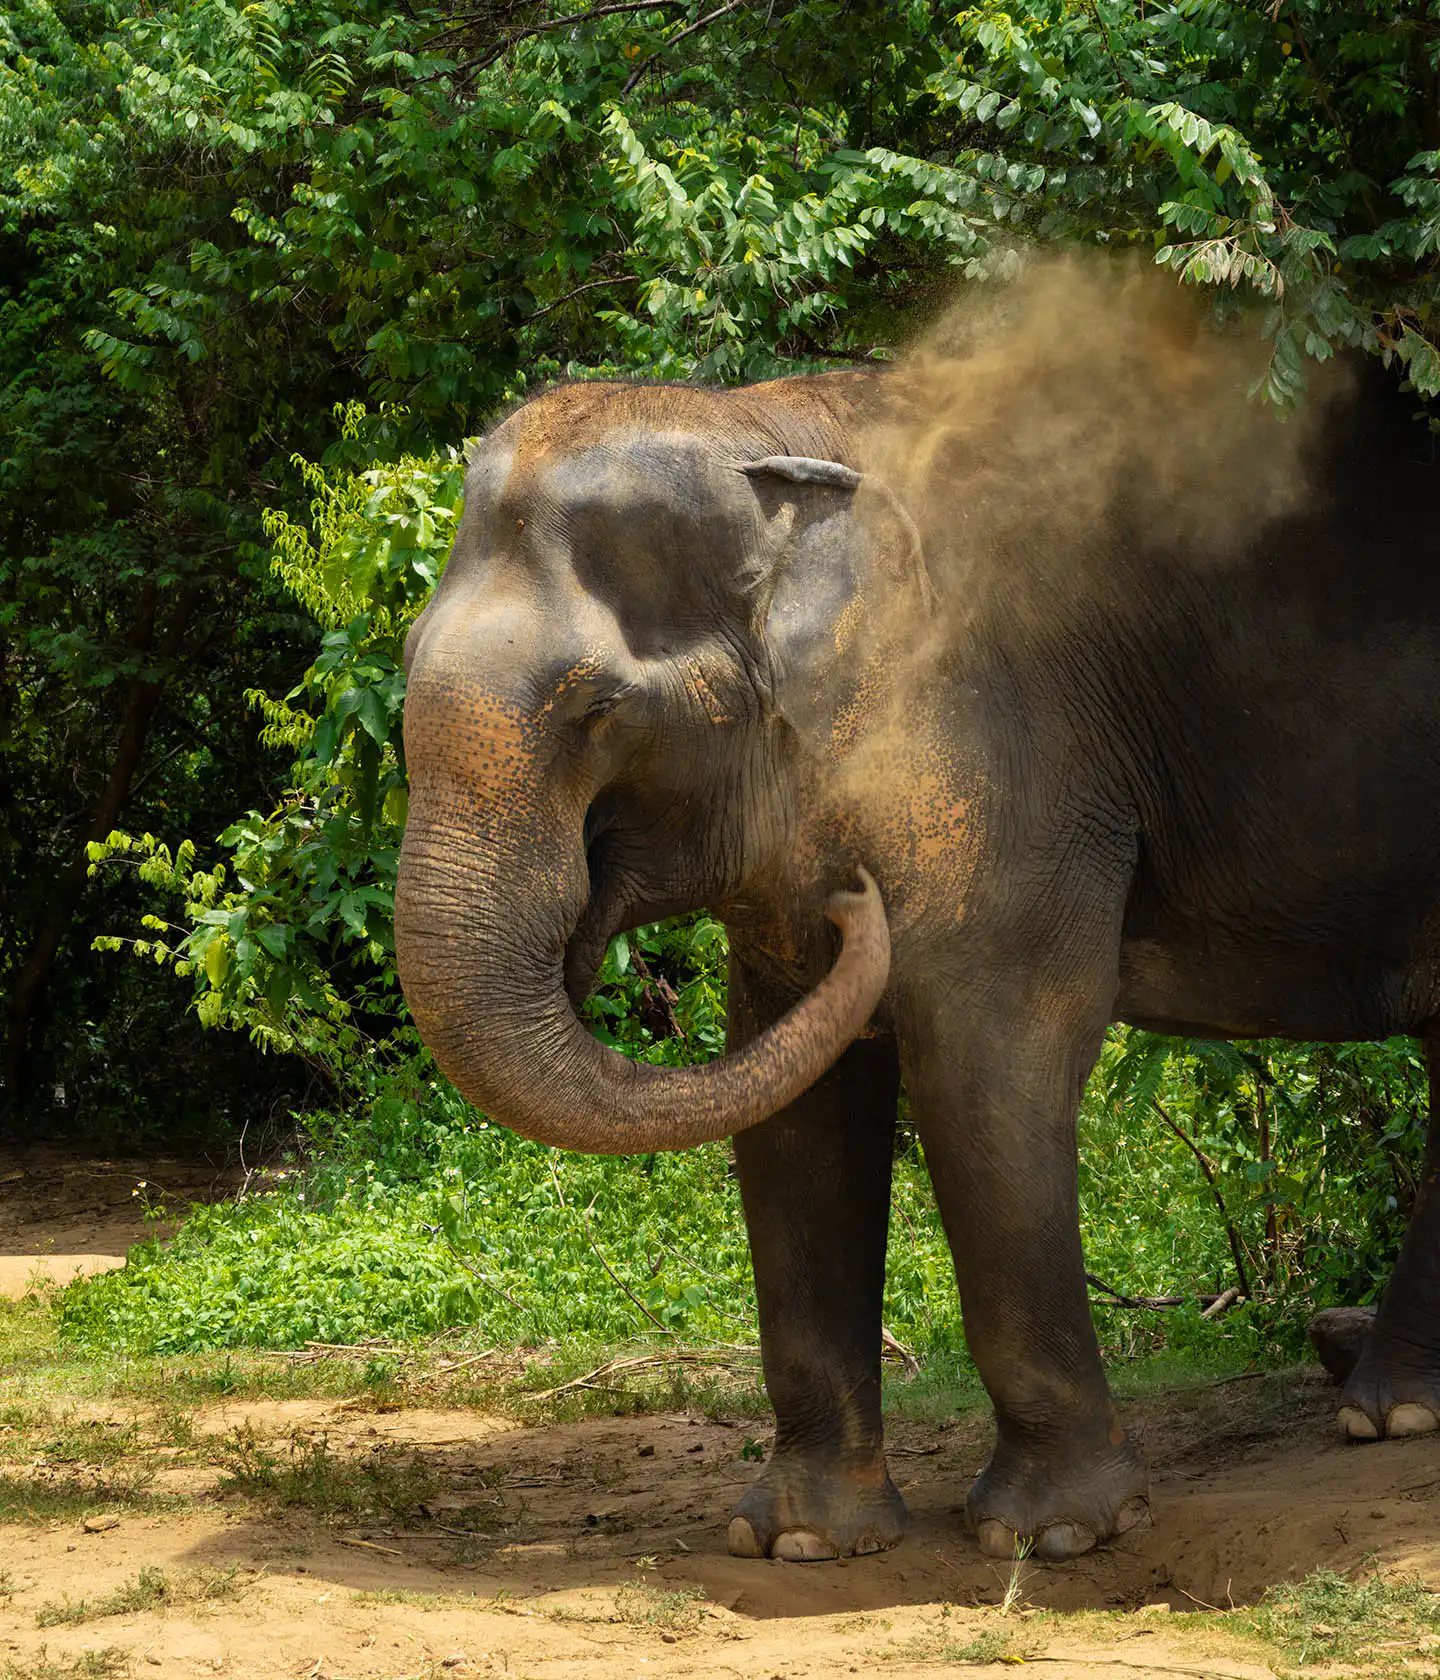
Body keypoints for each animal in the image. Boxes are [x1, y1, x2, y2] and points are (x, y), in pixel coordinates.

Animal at [394, 331, 1440, 1566]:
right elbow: (797, 1109)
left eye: (596, 710)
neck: (768, 426)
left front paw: (1053, 1538)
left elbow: (988, 1066)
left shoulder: (1010, 745)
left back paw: (1384, 1417)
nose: (857, 895)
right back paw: (1394, 1411)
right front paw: (802, 1543)